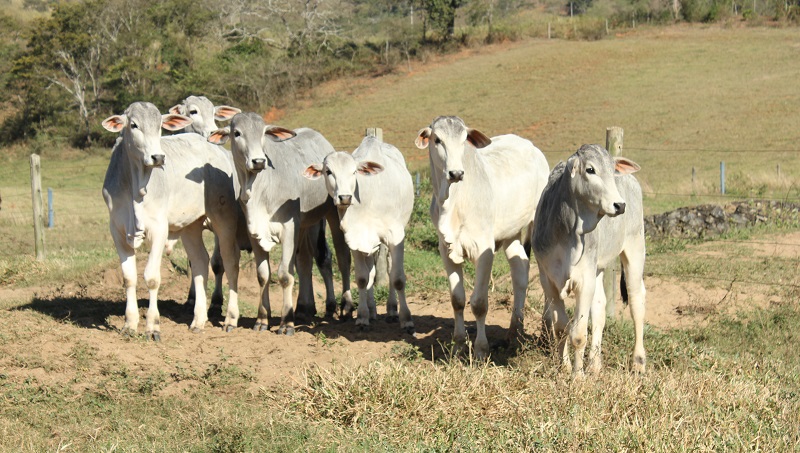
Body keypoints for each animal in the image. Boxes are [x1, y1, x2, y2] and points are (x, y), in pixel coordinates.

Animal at [99, 100, 239, 340]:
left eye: (159, 127)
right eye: (134, 125)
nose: (158, 157)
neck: (136, 185)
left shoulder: (159, 229)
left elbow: (152, 278)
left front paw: (152, 326)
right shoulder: (117, 229)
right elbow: (129, 277)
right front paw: (129, 324)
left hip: (224, 219)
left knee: (228, 262)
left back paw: (230, 317)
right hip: (191, 226)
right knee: (200, 262)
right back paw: (198, 319)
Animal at [208, 111, 352, 334]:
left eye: (263, 133)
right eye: (237, 133)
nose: (258, 161)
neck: (259, 190)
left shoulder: (289, 228)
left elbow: (285, 274)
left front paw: (286, 322)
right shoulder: (255, 233)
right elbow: (263, 275)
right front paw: (262, 319)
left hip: (333, 213)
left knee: (341, 258)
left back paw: (344, 307)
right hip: (305, 225)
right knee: (305, 261)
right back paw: (304, 308)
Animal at [304, 135, 416, 332]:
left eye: (354, 171)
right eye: (328, 171)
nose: (345, 197)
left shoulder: (395, 236)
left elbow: (397, 278)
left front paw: (407, 319)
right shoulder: (355, 239)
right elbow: (363, 278)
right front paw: (363, 317)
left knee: (389, 269)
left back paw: (392, 310)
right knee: (371, 271)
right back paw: (372, 310)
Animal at [412, 117, 552, 360]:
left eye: (463, 140)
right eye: (437, 139)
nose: (456, 173)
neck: (452, 202)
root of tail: (531, 147)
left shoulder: (484, 250)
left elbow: (478, 303)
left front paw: (480, 350)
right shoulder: (445, 250)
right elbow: (457, 300)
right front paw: (458, 346)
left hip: (537, 227)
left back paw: (544, 333)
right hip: (511, 234)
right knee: (520, 272)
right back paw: (514, 332)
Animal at [532, 143, 648, 372]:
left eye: (612, 170)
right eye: (590, 170)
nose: (619, 205)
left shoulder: (584, 281)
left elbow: (578, 334)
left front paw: (578, 375)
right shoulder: (548, 280)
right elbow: (561, 327)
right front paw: (565, 368)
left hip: (635, 250)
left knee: (636, 302)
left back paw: (638, 362)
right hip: (598, 269)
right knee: (600, 310)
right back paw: (595, 365)